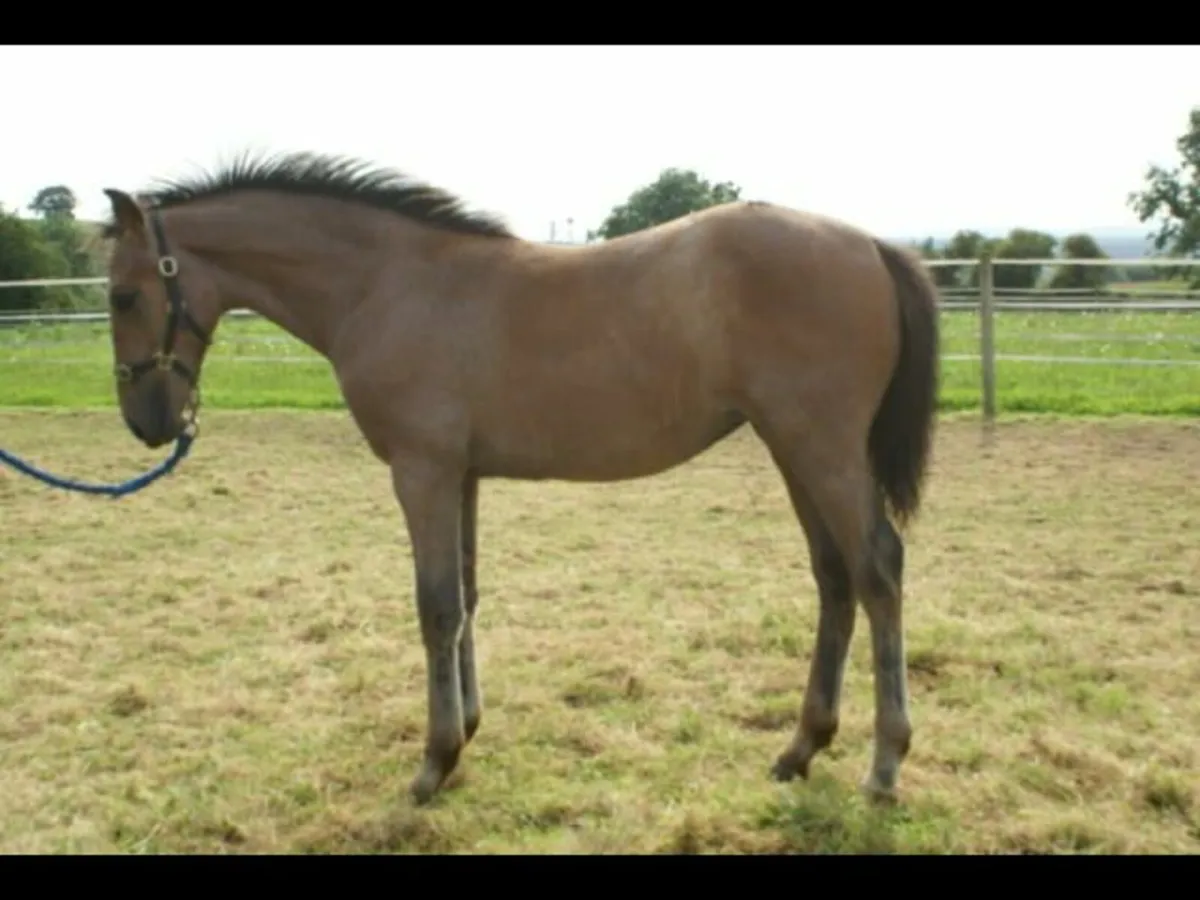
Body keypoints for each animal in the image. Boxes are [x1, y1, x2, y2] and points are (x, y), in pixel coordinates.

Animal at [99, 150, 940, 807]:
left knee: (879, 571)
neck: (388, 283)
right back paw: (802, 748)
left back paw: (884, 764)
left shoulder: (423, 471)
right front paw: (467, 731)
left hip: (822, 447)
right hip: (793, 448)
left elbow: (435, 606)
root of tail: (871, 245)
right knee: (834, 577)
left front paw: (434, 763)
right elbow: (467, 598)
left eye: (123, 293)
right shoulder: (462, 474)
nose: (147, 421)